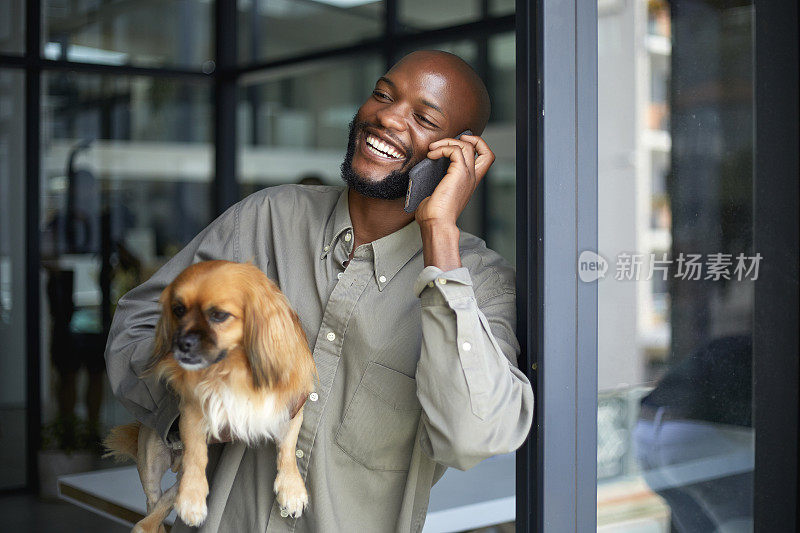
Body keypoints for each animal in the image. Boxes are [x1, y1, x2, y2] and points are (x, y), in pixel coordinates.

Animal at [104, 260, 318, 528]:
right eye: (178, 310)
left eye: (219, 315)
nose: (181, 343)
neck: (234, 370)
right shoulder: (193, 412)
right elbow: (196, 454)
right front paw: (192, 499)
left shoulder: (290, 408)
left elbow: (288, 449)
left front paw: (292, 489)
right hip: (150, 460)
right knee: (153, 506)